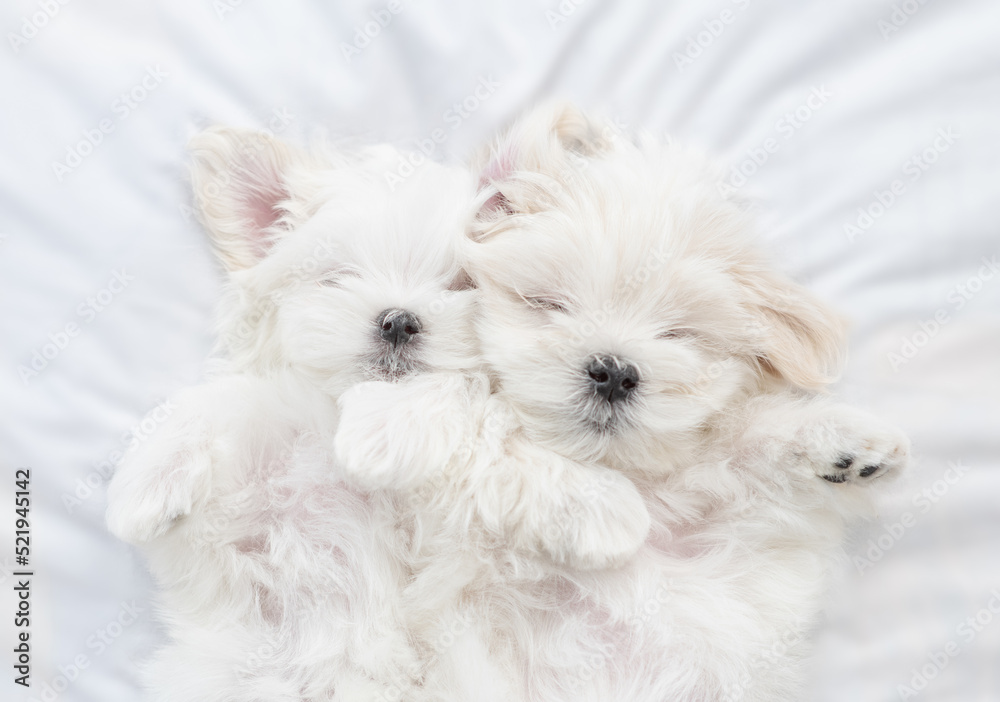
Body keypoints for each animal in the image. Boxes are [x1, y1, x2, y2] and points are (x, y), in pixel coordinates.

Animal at [334, 104, 908, 702]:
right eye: (548, 303)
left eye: (678, 334)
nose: (613, 371)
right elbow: (472, 411)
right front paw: (384, 422)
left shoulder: (721, 527)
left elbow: (741, 441)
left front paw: (842, 444)